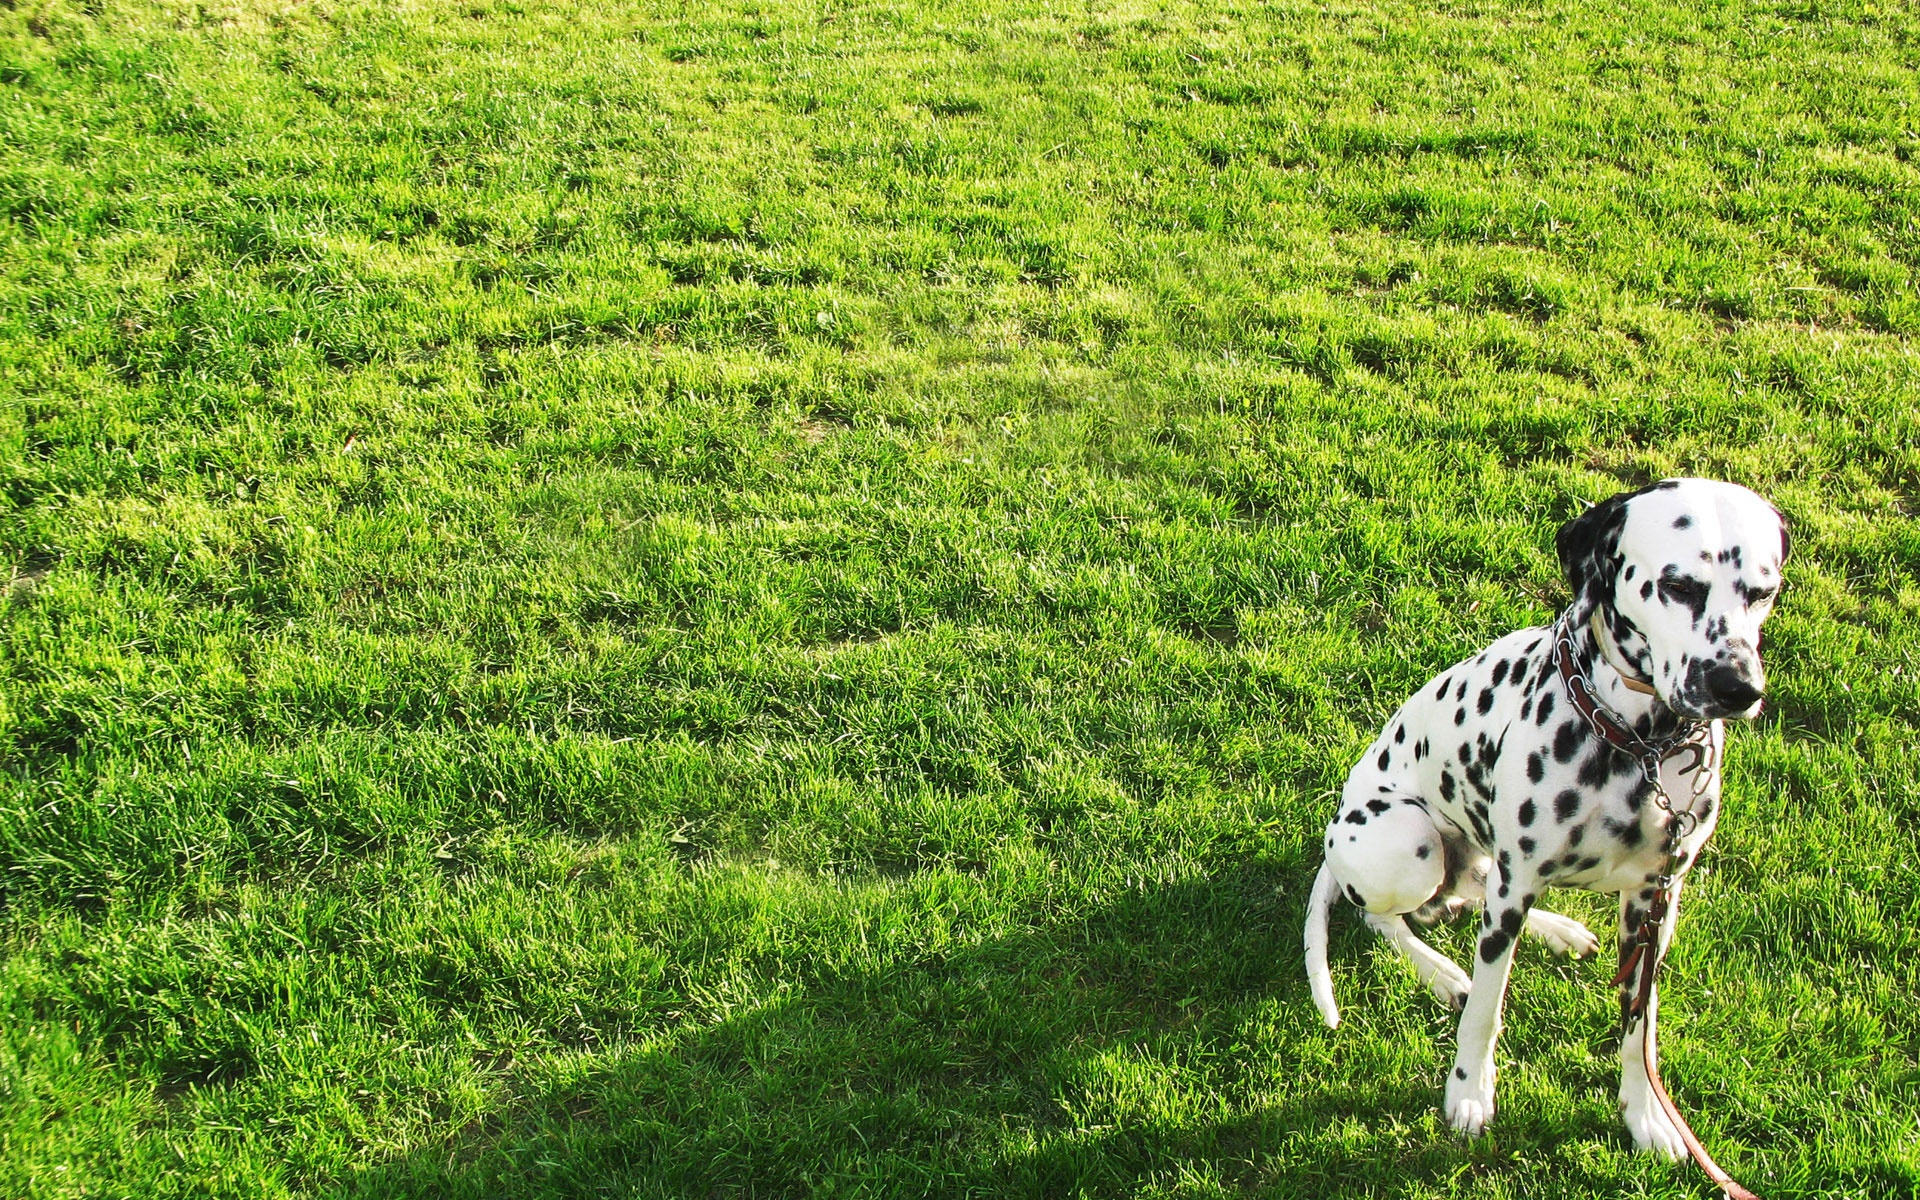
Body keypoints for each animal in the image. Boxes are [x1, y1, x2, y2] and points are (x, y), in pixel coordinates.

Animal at [1297, 474, 1789, 1152]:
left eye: (1763, 591)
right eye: (1679, 585)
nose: (1738, 687)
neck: (1640, 744)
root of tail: (1334, 837)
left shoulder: (1656, 901)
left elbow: (1640, 1028)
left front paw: (1645, 1114)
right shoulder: (1516, 888)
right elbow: (1485, 1011)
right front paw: (1469, 1094)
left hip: (1485, 864)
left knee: (1471, 892)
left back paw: (1556, 930)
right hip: (1409, 840)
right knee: (1388, 919)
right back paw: (1442, 972)